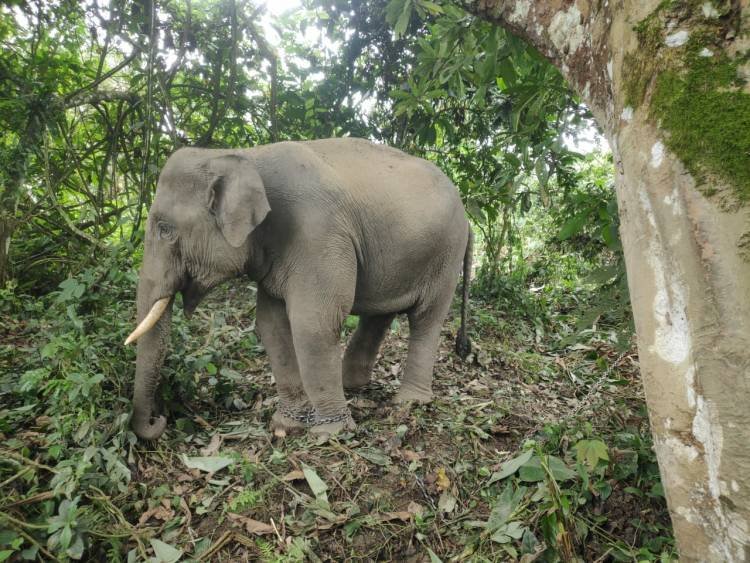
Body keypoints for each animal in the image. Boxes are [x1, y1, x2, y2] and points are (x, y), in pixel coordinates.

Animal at [125, 137, 472, 440]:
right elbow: (271, 324)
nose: (159, 420)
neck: (246, 155)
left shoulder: (318, 234)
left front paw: (330, 432)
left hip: (446, 255)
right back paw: (351, 385)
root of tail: (468, 215)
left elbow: (312, 324)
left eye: (165, 230)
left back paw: (409, 401)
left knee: (426, 319)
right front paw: (287, 424)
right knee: (379, 315)